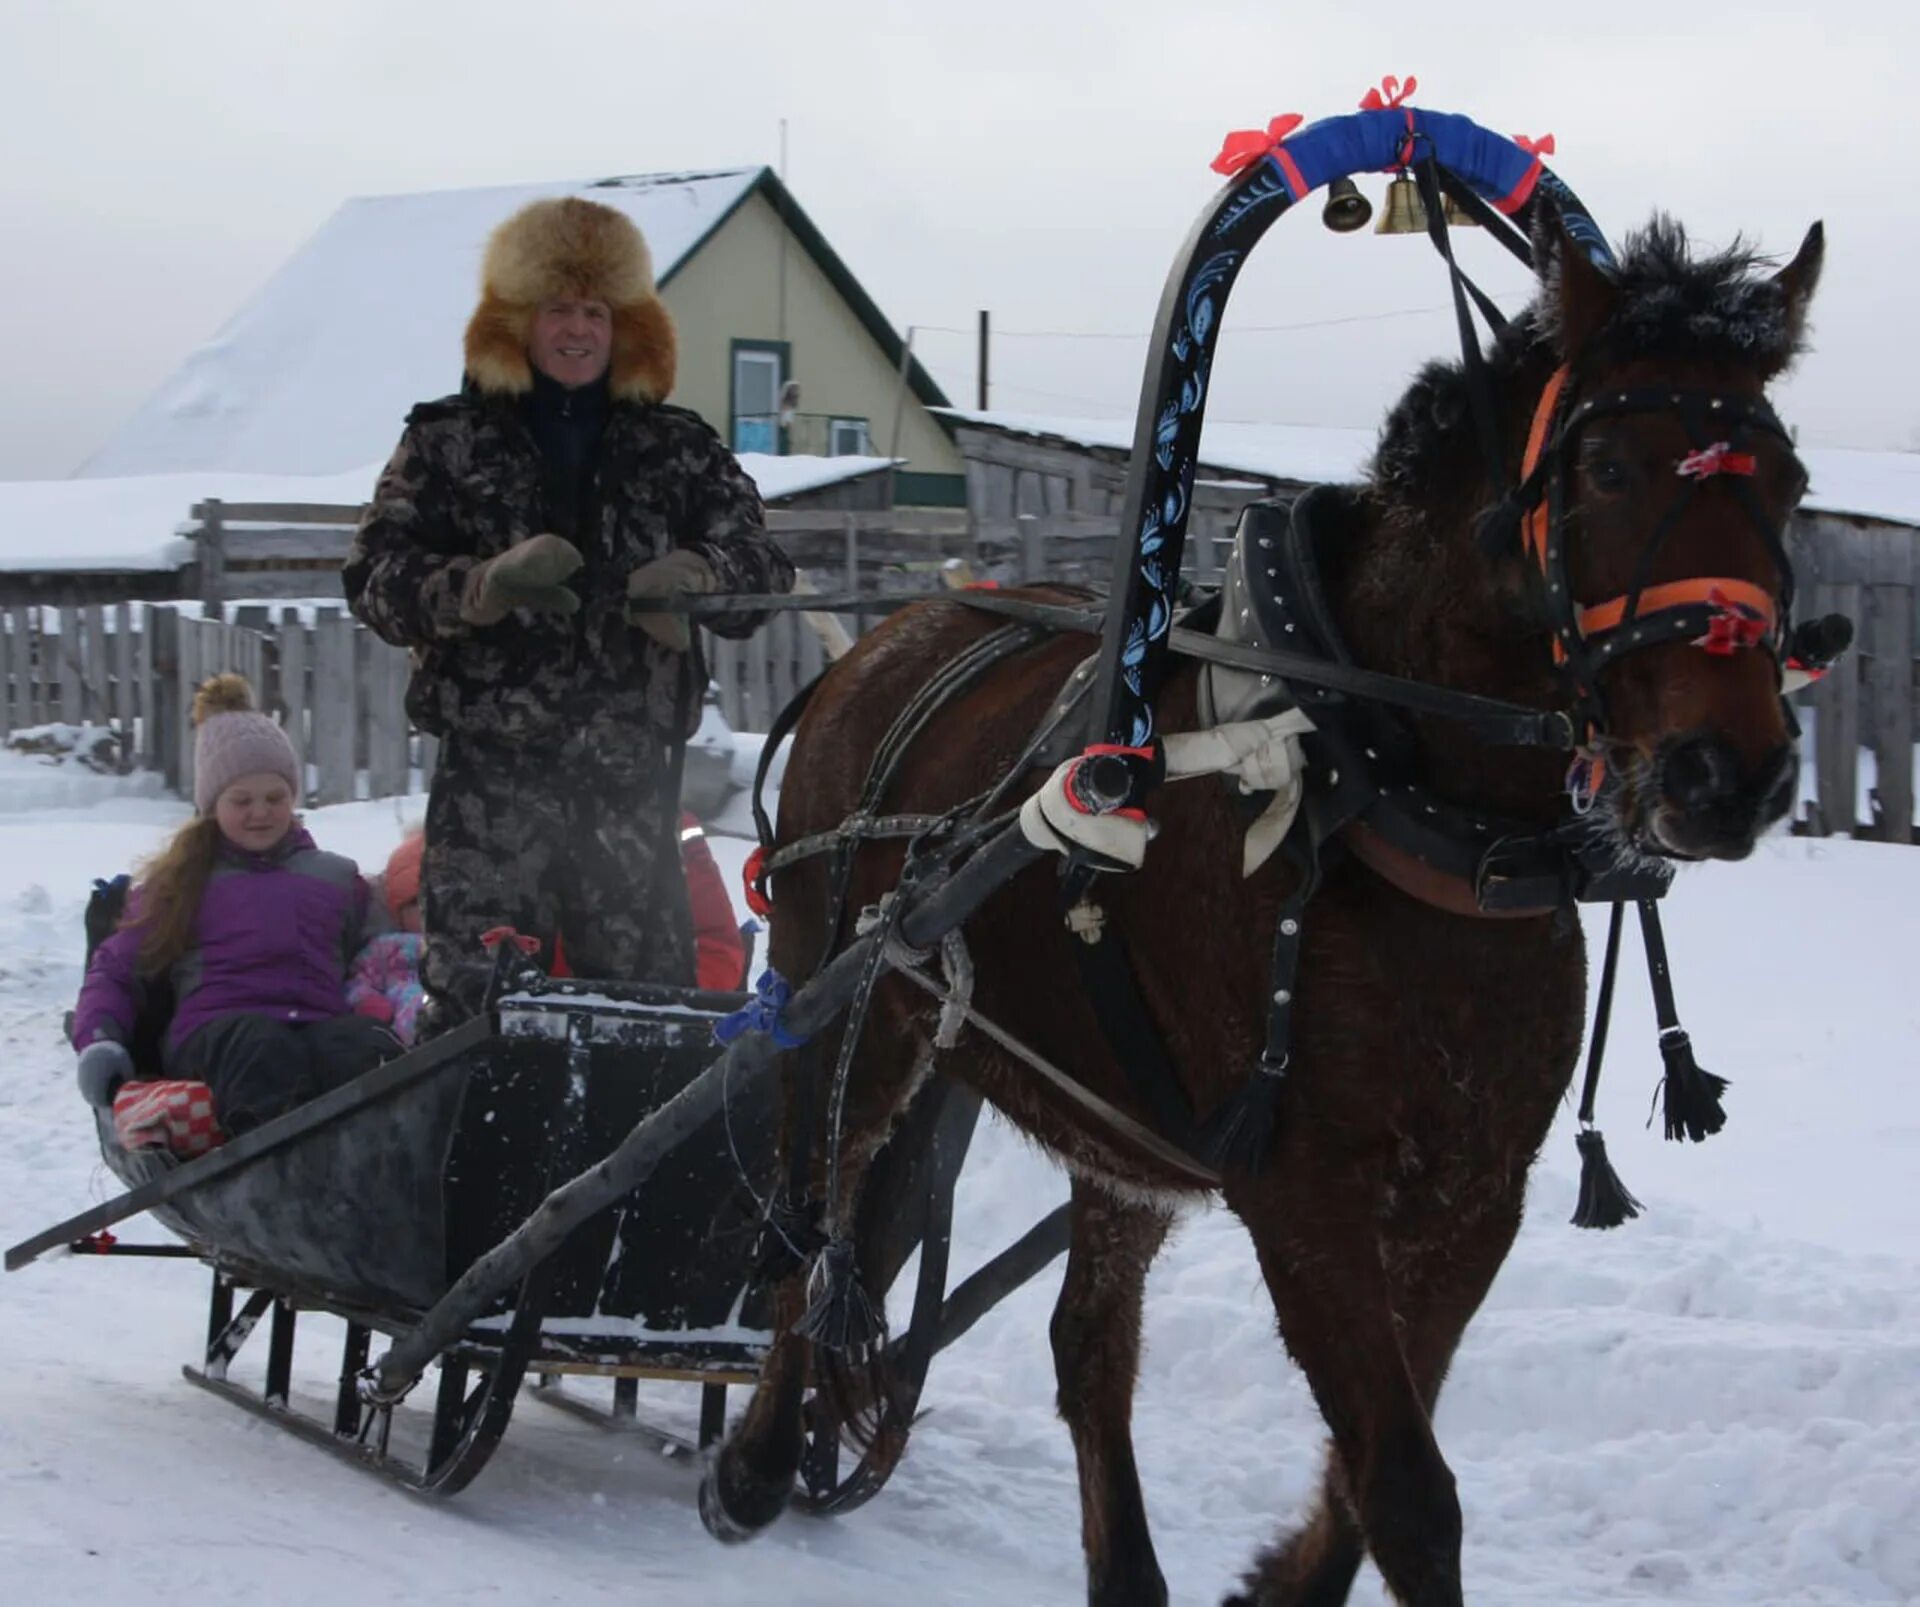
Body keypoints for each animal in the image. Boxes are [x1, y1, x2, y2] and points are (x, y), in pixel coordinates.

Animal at [710, 215, 1827, 1605]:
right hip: (855, 1002)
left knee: (1085, 1339)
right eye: (1612, 466)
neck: (1384, 792)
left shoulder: (1474, 1195)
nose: (1729, 772)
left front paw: (1279, 1581)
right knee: (810, 1220)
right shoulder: (1302, 1193)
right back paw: (755, 1460)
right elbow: (1406, 1487)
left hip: (1113, 1123)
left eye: (1787, 479)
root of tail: (884, 637)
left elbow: (1368, 1462)